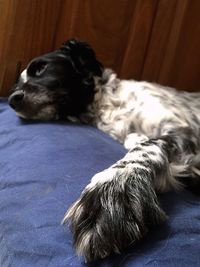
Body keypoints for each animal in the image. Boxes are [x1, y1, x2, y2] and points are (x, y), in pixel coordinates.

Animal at [7, 39, 200, 262]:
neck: (106, 105)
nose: (12, 99)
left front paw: (115, 187)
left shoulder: (182, 130)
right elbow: (134, 139)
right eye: (16, 85)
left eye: (41, 68)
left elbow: (146, 148)